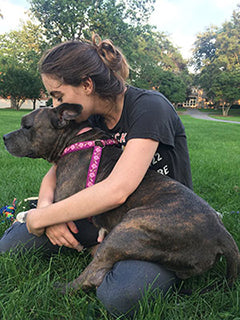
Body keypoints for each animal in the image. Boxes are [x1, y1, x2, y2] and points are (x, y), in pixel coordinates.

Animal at [2, 104, 240, 292]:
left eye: (27, 126)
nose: (4, 137)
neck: (74, 139)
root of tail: (222, 235)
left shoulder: (63, 200)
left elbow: (44, 211)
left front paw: (26, 215)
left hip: (127, 231)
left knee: (93, 277)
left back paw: (59, 289)